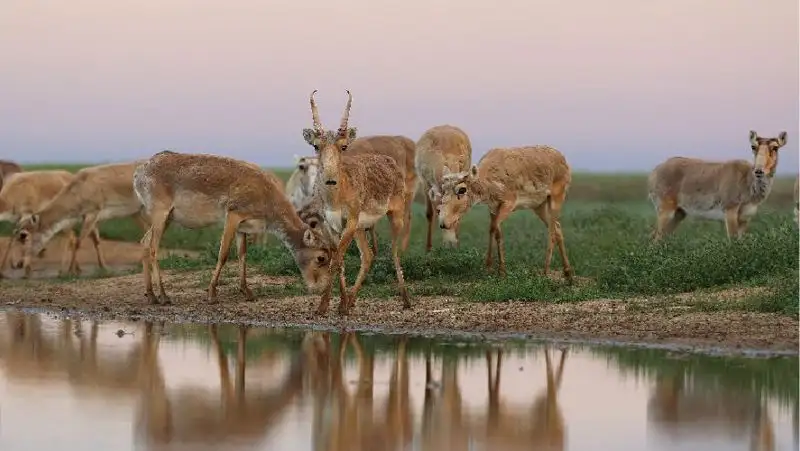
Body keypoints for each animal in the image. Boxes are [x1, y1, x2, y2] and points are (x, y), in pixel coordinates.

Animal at [15, 161, 150, 278]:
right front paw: (104, 268)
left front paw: (70, 271)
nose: (19, 263)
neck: (79, 190)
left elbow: (78, 242)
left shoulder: (92, 213)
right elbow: (96, 241)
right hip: (137, 212)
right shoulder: (89, 218)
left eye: (24, 235)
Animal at [133, 150, 332, 306]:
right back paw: (164, 296)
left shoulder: (243, 227)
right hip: (160, 213)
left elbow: (242, 255)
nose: (321, 288)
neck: (268, 200)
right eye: (321, 257)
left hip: (168, 218)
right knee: (153, 248)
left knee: (144, 242)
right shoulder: (233, 215)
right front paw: (212, 294)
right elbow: (223, 253)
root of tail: (139, 173)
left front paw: (247, 292)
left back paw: (151, 296)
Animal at [300, 90, 412, 316]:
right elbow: (338, 259)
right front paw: (335, 305)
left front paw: (328, 306)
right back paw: (351, 300)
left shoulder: (350, 222)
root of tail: (390, 162)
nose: (330, 180)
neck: (336, 197)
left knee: (394, 253)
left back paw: (406, 300)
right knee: (367, 256)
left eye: (344, 146)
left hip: (395, 217)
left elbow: (336, 261)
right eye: (316, 146)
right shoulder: (330, 224)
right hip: (361, 228)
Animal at [434, 147, 572, 282]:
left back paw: (546, 271)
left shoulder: (509, 203)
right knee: (557, 227)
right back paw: (567, 273)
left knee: (552, 231)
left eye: (462, 189)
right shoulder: (493, 207)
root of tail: (564, 160)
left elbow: (494, 228)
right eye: (443, 189)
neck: (489, 182)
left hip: (557, 197)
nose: (443, 223)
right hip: (539, 206)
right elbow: (495, 231)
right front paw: (497, 269)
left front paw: (493, 268)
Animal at [648, 131, 788, 240]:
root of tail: (655, 171)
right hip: (665, 210)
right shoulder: (730, 212)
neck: (747, 181)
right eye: (753, 146)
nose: (758, 171)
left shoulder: (745, 219)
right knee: (656, 237)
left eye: (775, 147)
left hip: (679, 213)